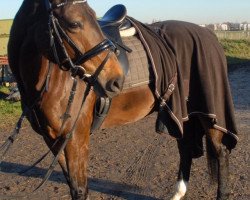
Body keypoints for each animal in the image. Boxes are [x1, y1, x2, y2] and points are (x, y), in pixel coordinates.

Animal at [5, 0, 238, 200]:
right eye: (74, 23)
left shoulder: (75, 139)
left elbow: (80, 190)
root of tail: (208, 33)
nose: (116, 80)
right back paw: (178, 192)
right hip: (183, 111)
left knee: (220, 152)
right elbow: (73, 186)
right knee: (186, 147)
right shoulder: (54, 140)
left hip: (208, 114)